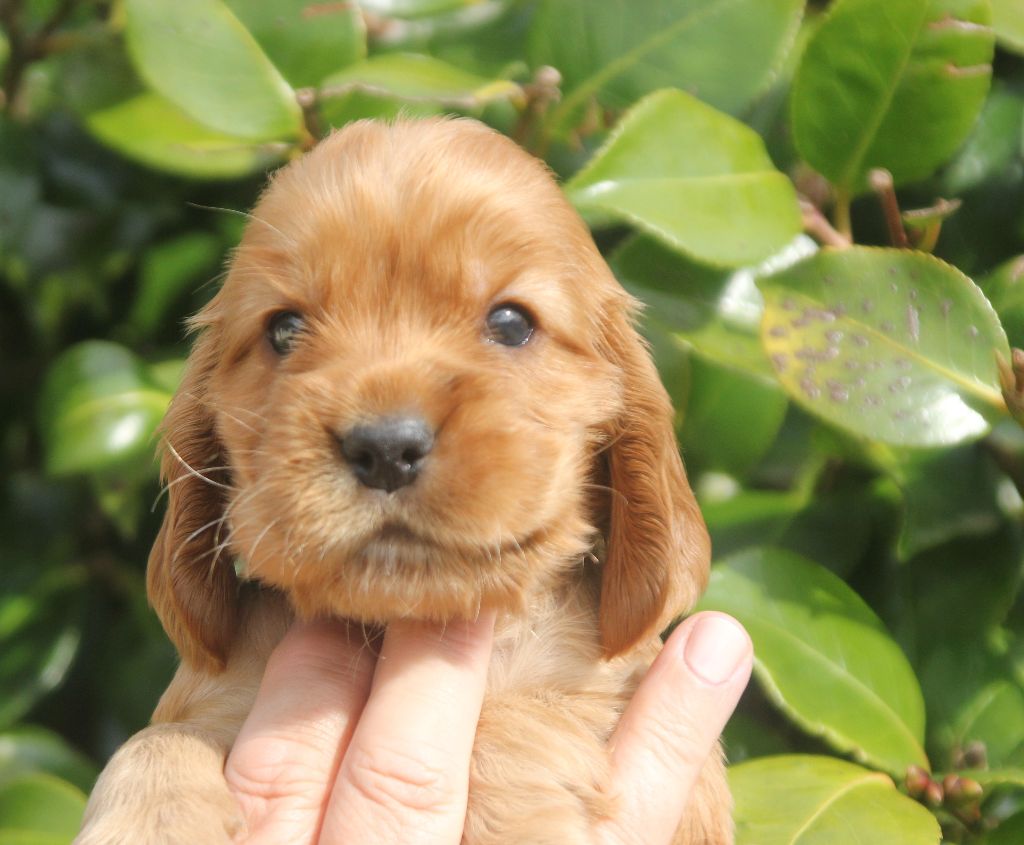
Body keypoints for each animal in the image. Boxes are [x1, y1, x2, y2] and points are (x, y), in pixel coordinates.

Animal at [76, 118, 728, 843]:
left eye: (512, 322)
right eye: (284, 329)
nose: (386, 448)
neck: (393, 627)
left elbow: (515, 714)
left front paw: (519, 817)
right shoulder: (216, 698)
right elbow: (153, 742)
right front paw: (154, 818)